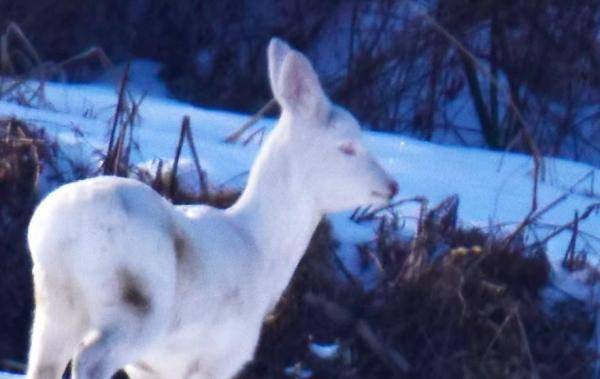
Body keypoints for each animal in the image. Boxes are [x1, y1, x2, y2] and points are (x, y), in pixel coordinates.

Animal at [25, 38, 398, 379]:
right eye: (347, 147)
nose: (391, 186)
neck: (261, 250)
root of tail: (60, 230)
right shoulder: (218, 356)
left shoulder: (153, 369)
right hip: (135, 299)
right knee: (90, 358)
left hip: (54, 302)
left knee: (44, 364)